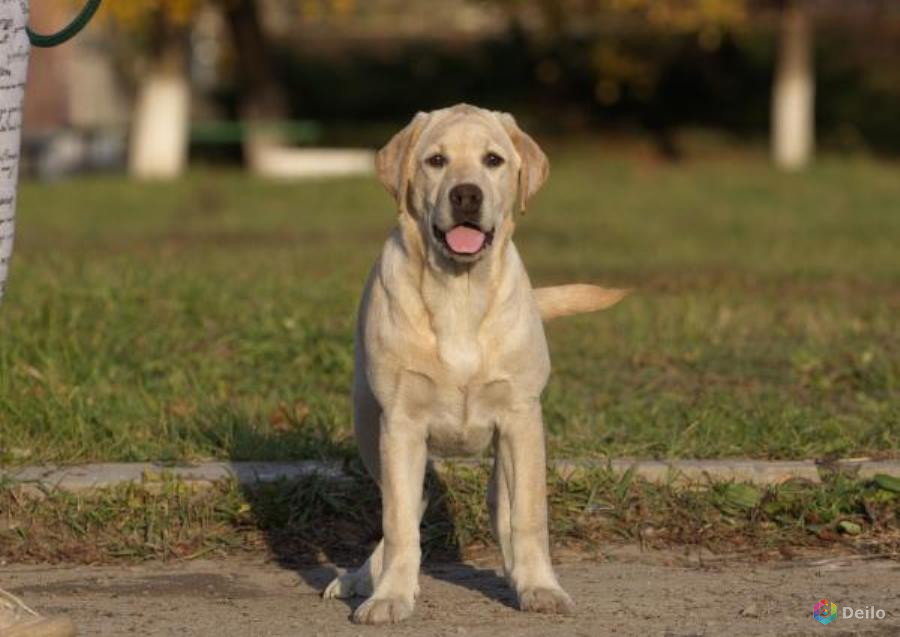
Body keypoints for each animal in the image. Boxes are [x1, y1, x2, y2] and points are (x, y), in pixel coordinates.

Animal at [324, 103, 624, 620]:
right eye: (436, 161)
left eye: (493, 160)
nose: (466, 194)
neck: (459, 292)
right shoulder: (399, 423)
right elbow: (399, 522)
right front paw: (390, 596)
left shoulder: (521, 418)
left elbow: (529, 516)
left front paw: (539, 586)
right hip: (367, 422)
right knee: (410, 502)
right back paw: (362, 578)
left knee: (500, 507)